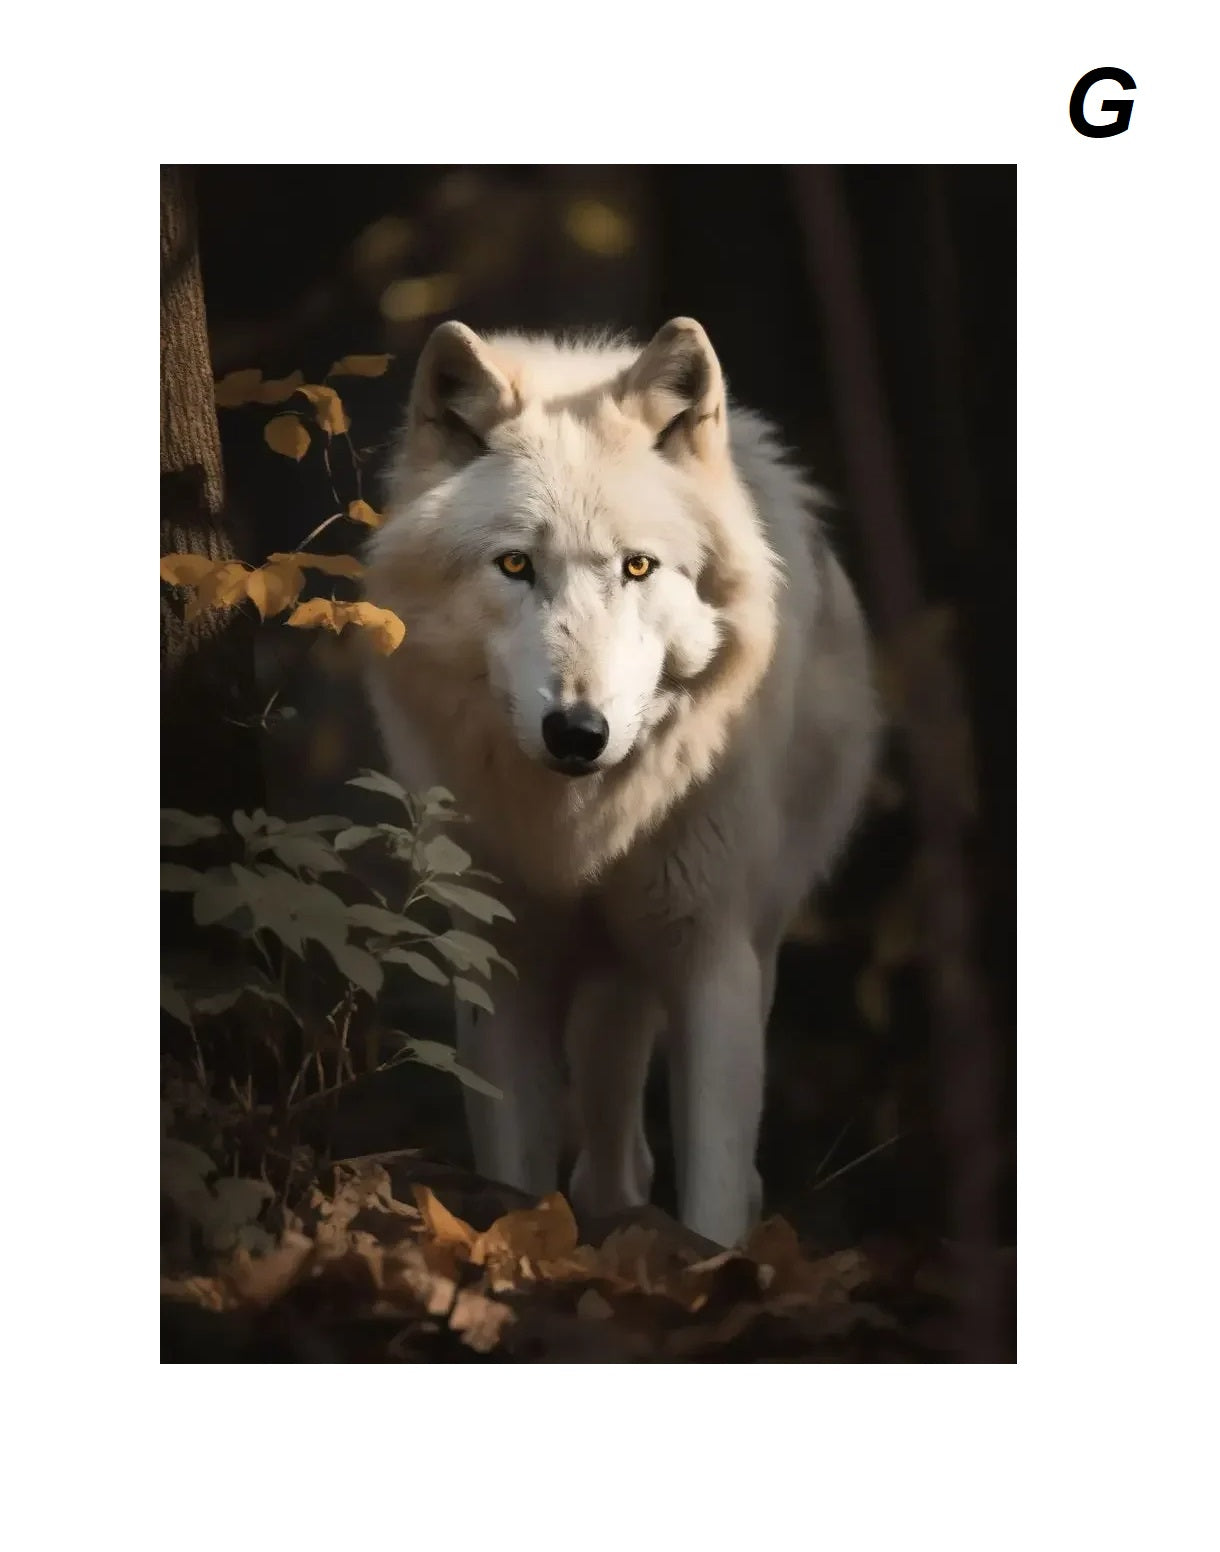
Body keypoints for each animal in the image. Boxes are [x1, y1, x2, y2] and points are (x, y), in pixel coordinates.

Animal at [363, 317, 878, 1248]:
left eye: (638, 568)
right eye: (515, 566)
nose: (578, 732)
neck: (583, 835)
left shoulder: (713, 957)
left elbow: (714, 1188)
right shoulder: (502, 966)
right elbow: (513, 1171)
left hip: (738, 945)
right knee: (614, 1161)